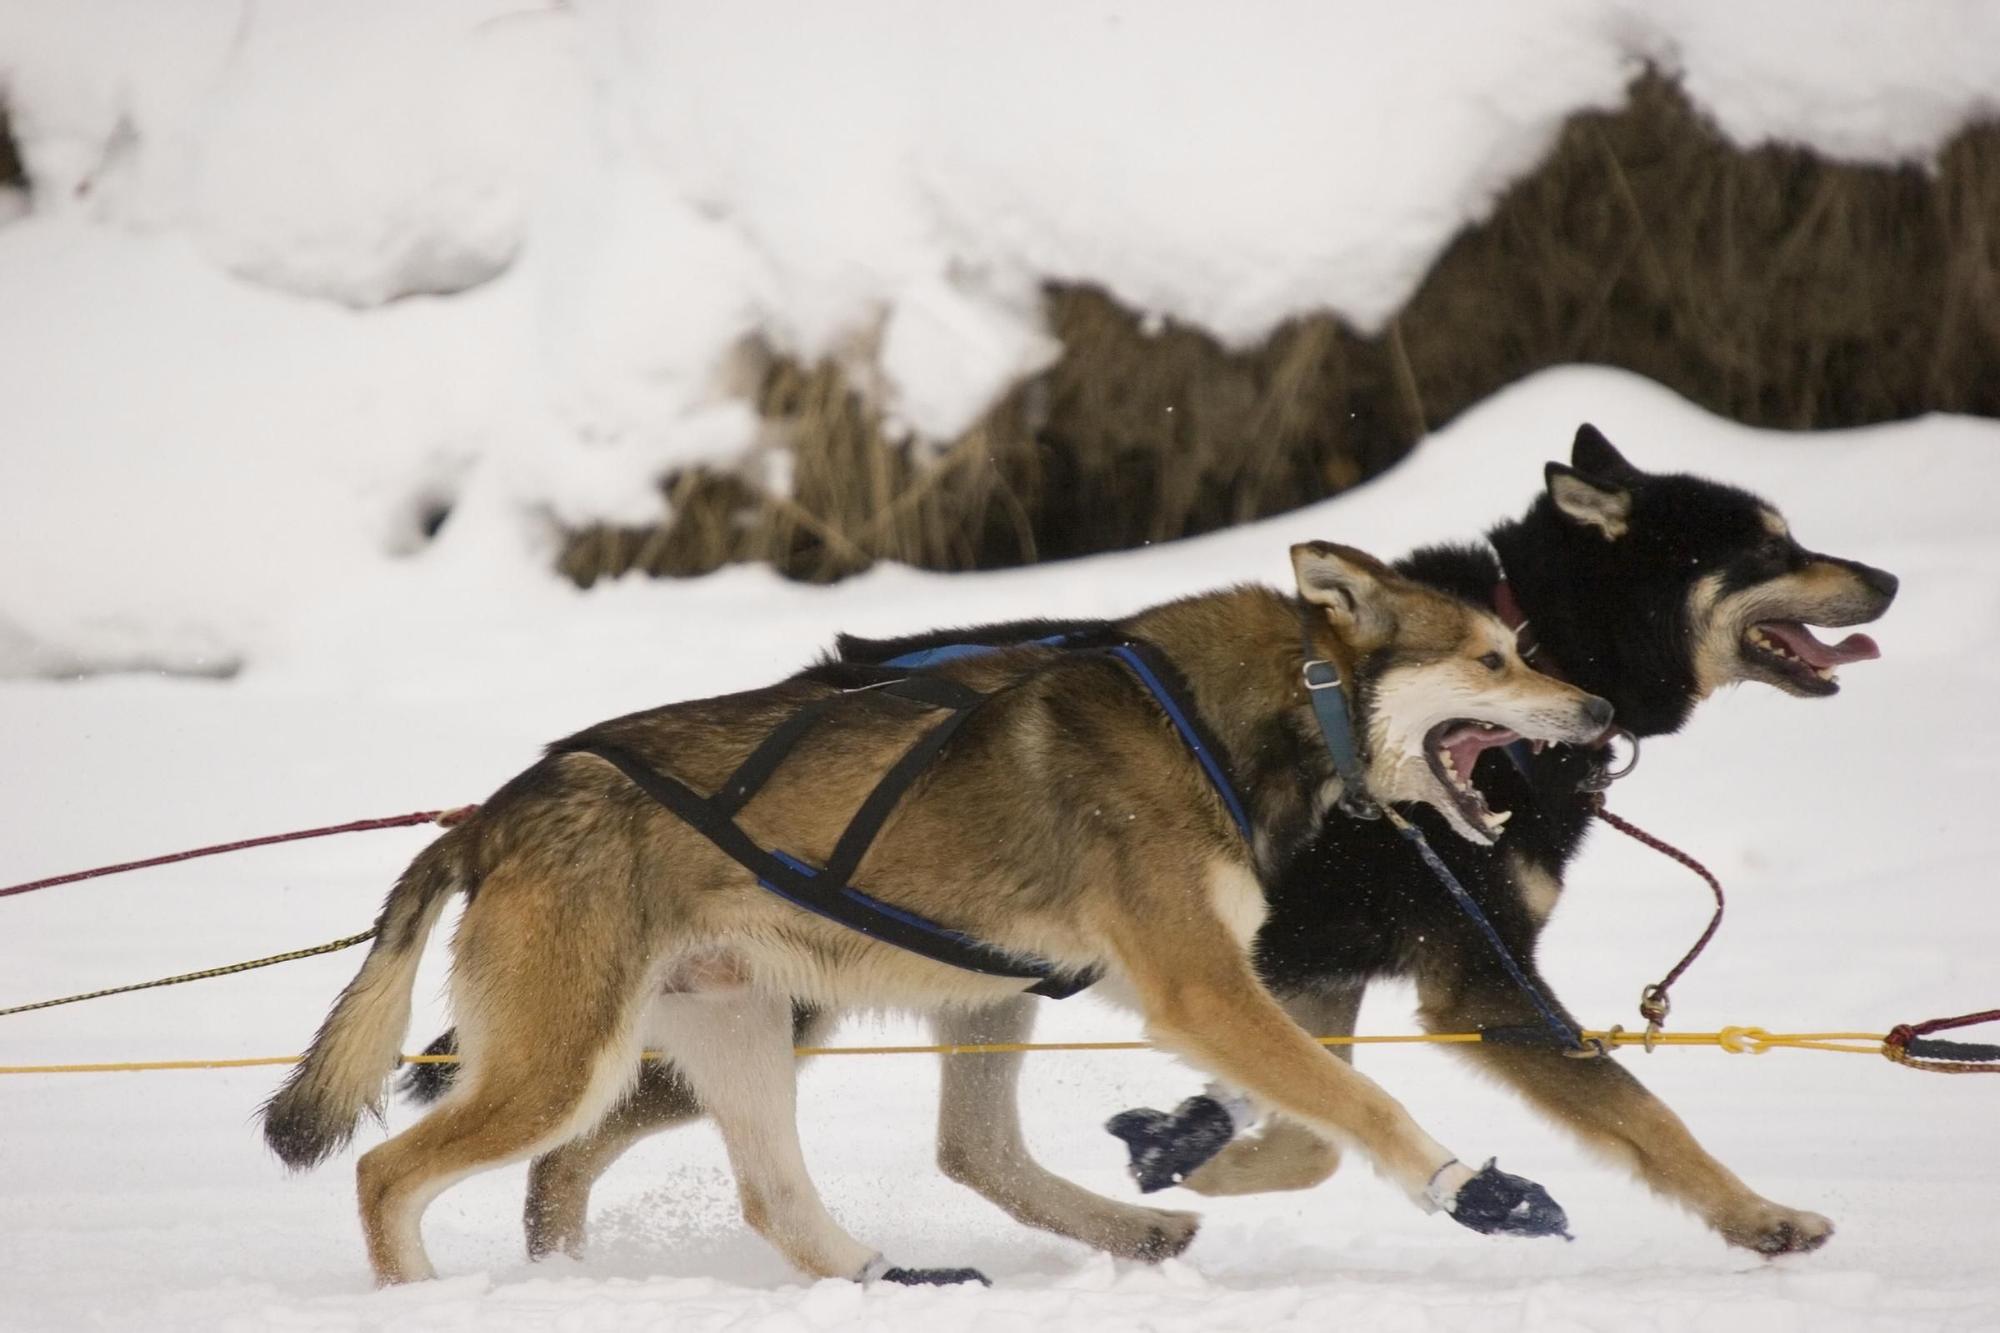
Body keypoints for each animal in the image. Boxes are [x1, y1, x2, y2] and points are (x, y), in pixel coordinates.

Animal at [266, 540, 1608, 1280]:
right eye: (1492, 660)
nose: (1595, 710)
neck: (1244, 710)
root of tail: (493, 812)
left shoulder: (1078, 991)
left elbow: (1283, 1125)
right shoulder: (1199, 988)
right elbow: (1358, 1105)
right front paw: (1469, 1189)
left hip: (745, 1031)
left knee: (779, 1194)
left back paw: (886, 1275)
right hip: (569, 1063)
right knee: (385, 1172)